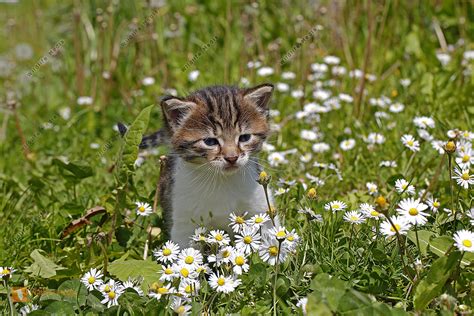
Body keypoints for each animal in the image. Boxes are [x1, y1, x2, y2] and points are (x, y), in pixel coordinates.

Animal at [120, 82, 274, 246]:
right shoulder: (183, 219)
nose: (232, 158)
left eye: (244, 138)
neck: (221, 181)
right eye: (210, 141)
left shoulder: (260, 208)